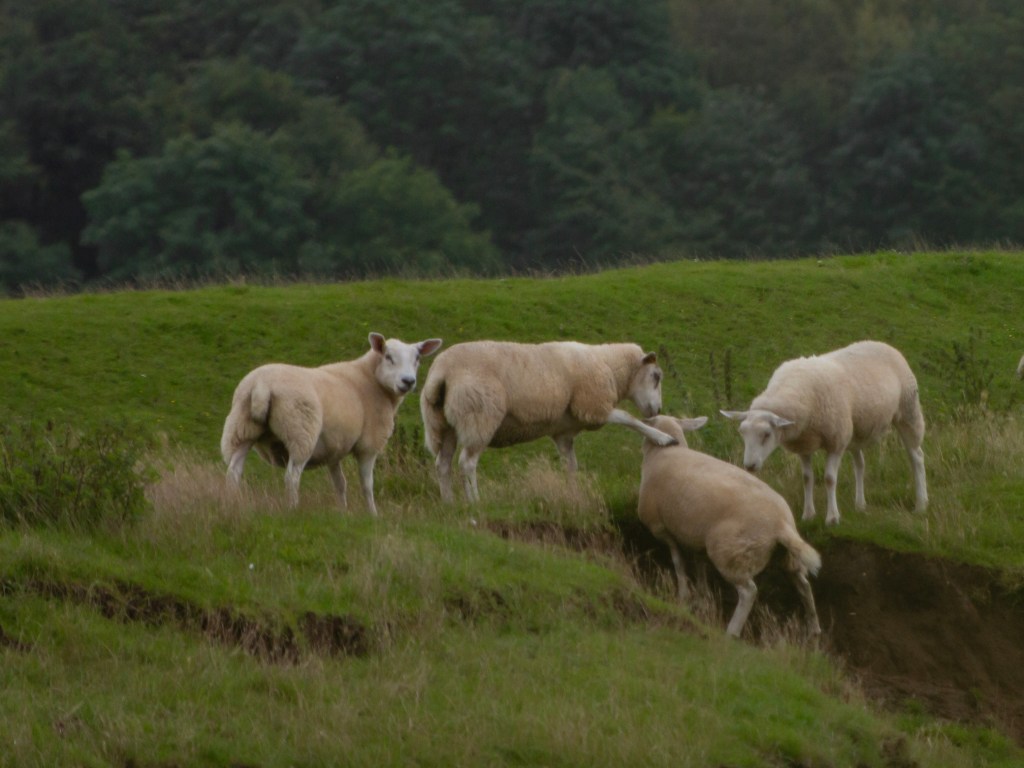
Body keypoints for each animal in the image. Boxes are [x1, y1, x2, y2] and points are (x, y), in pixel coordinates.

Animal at [221, 332, 442, 513]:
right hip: (300, 433)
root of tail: (261, 386)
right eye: (388, 357)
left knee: (234, 472)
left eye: (417, 358)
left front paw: (343, 512)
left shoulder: (334, 447)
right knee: (292, 477)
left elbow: (340, 483)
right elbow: (367, 485)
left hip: (242, 429)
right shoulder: (368, 445)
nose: (408, 381)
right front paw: (373, 514)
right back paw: (293, 509)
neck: (372, 381)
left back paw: (233, 504)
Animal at [420, 340, 677, 502]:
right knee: (467, 463)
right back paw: (474, 501)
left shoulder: (564, 432)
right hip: (479, 417)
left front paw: (574, 497)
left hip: (443, 424)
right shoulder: (593, 406)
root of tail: (441, 372)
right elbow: (628, 418)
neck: (608, 366)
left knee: (443, 464)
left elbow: (571, 465)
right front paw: (664, 438)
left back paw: (449, 502)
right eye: (656, 376)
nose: (657, 409)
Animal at [637, 415, 822, 638]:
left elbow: (678, 562)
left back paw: (732, 632)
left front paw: (683, 596)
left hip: (732, 553)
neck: (663, 453)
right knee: (804, 585)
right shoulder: (695, 537)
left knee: (749, 591)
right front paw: (701, 598)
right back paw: (814, 628)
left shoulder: (661, 528)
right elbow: (699, 567)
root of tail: (781, 524)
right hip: (788, 558)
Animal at [721, 340, 927, 526]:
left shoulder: (836, 441)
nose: (749, 466)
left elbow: (829, 479)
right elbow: (807, 478)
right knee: (860, 463)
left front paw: (832, 518)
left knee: (916, 457)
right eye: (742, 432)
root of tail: (884, 344)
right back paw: (860, 504)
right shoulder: (804, 444)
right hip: (854, 431)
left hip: (907, 411)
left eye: (766, 434)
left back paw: (921, 504)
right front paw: (808, 514)